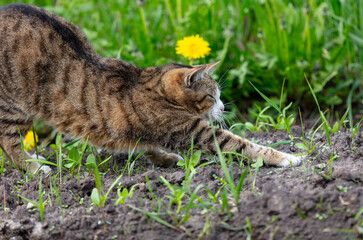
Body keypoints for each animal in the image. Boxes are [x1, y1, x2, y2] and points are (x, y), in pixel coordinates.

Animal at [0, 4, 302, 172]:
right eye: (211, 96)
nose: (224, 107)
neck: (155, 87)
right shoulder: (190, 129)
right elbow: (240, 144)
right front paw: (286, 158)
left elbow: (145, 145)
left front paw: (165, 158)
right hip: (12, 107)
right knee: (9, 143)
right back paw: (33, 167)